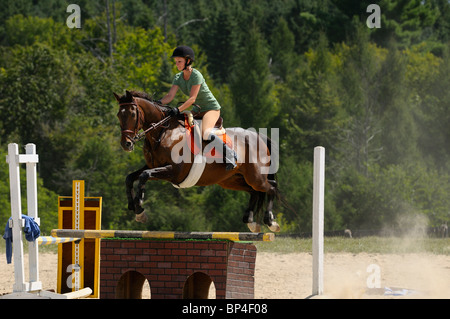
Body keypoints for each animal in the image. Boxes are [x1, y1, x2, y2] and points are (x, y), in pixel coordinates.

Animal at [114, 90, 280, 232]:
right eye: (118, 115)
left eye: (132, 114)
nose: (126, 144)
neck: (162, 133)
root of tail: (258, 136)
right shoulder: (153, 166)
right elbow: (131, 177)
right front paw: (134, 207)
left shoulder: (174, 171)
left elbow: (144, 176)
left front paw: (140, 206)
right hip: (231, 180)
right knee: (254, 191)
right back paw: (250, 221)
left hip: (255, 177)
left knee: (271, 187)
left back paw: (271, 222)